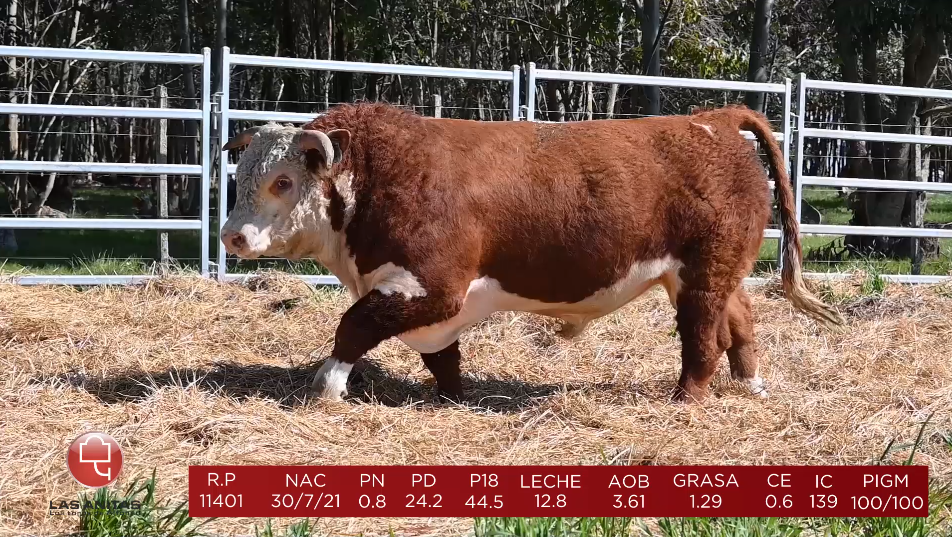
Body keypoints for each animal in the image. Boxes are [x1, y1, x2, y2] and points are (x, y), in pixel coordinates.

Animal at [220, 102, 844, 405]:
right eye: (241, 174)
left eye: (282, 181)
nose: (232, 236)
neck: (376, 178)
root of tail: (712, 119)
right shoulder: (434, 304)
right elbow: (443, 358)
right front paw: (454, 399)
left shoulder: (429, 285)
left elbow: (353, 326)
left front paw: (326, 387)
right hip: (709, 273)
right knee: (740, 322)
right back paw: (751, 384)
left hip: (702, 275)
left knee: (702, 342)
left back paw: (685, 400)